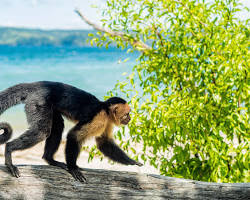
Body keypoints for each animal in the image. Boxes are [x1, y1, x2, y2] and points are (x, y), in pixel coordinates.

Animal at [0, 81, 142, 181]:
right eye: (127, 114)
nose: (130, 118)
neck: (106, 111)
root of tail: (37, 84)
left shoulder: (107, 122)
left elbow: (104, 143)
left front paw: (132, 162)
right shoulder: (99, 118)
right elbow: (74, 135)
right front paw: (73, 168)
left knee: (57, 127)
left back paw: (50, 159)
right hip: (38, 101)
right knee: (42, 132)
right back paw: (9, 150)